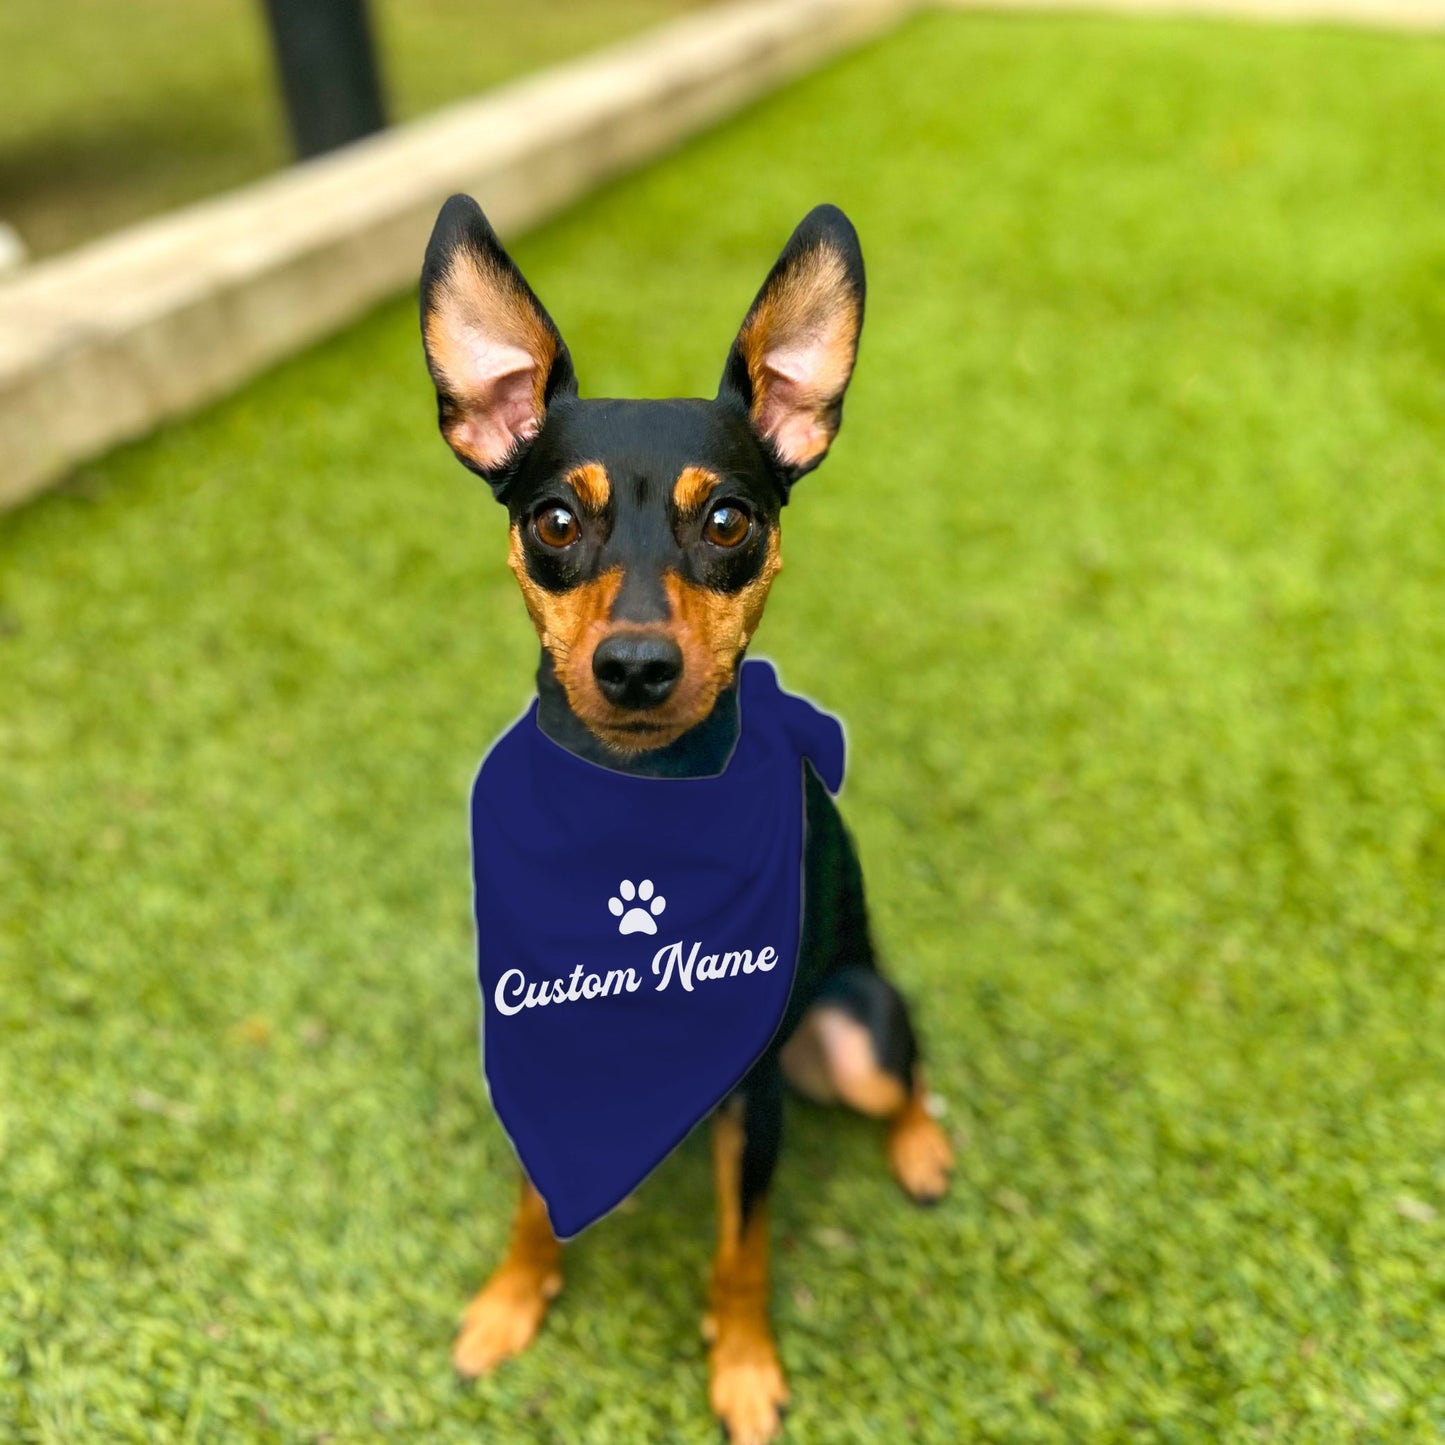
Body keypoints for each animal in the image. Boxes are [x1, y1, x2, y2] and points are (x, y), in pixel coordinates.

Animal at [421, 195, 959, 1445]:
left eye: (726, 519)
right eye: (551, 518)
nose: (632, 666)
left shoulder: (750, 1101)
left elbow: (740, 1249)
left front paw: (744, 1364)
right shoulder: (533, 1039)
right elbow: (529, 1201)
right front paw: (510, 1299)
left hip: (855, 1028)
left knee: (904, 1070)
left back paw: (922, 1144)